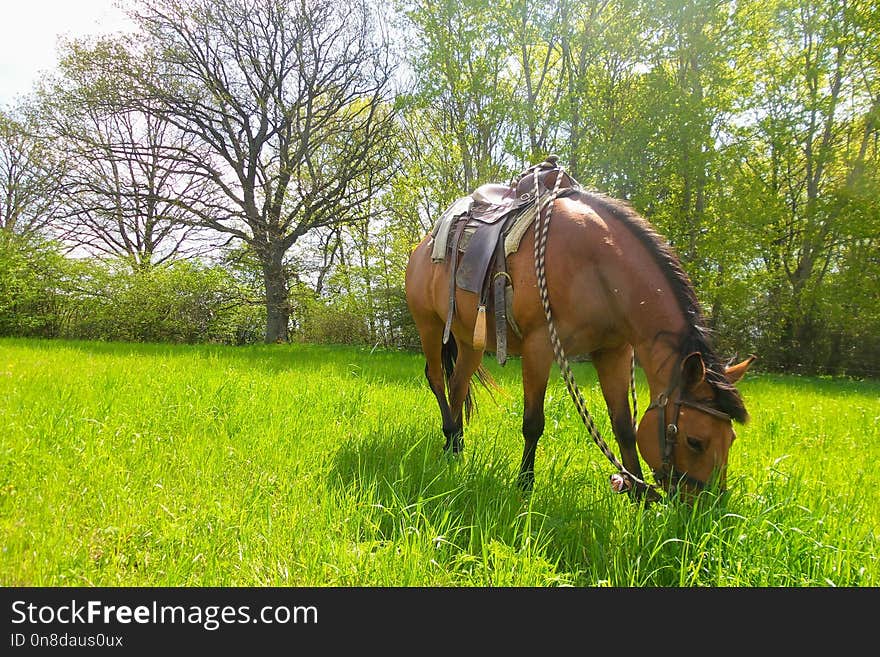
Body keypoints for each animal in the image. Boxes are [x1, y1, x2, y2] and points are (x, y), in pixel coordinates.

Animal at [406, 167, 756, 500]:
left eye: (731, 439)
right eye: (695, 441)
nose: (705, 508)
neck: (595, 267)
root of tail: (424, 245)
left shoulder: (613, 352)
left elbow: (624, 426)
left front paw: (637, 494)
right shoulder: (539, 347)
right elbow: (533, 423)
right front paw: (524, 486)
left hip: (470, 340)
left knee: (458, 384)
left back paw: (456, 448)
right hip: (429, 325)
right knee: (436, 379)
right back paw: (449, 435)